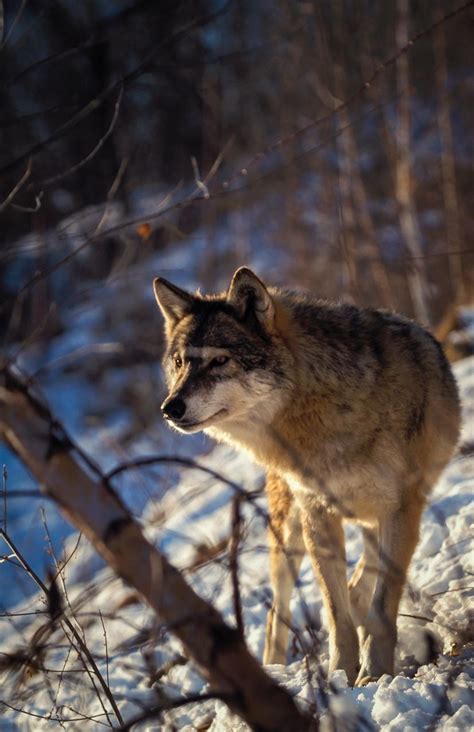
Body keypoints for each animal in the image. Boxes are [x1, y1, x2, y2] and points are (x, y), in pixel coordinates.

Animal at [154, 268, 462, 688]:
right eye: (180, 362)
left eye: (219, 361)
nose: (170, 408)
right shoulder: (318, 514)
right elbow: (336, 613)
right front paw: (341, 677)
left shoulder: (401, 509)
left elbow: (381, 606)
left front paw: (374, 672)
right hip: (289, 532)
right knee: (277, 610)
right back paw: (273, 672)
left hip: (372, 519)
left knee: (360, 587)